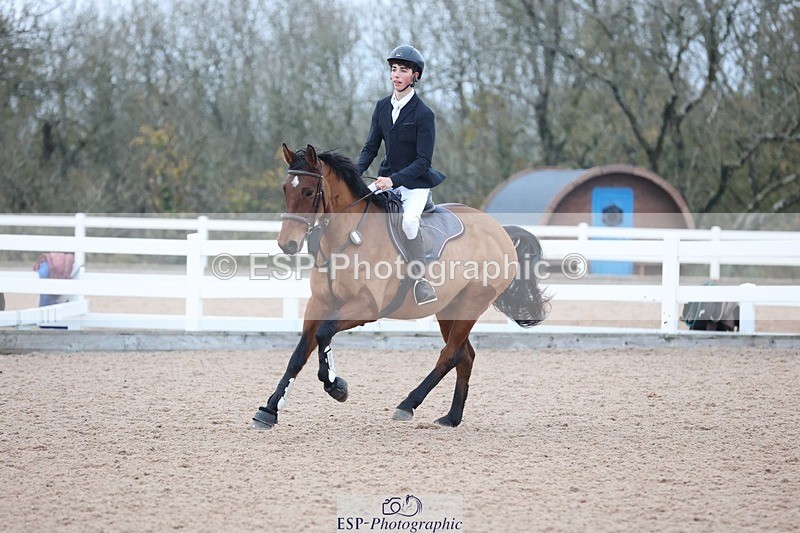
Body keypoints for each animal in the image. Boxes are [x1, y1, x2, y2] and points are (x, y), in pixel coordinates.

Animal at [252, 144, 549, 429]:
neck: (346, 237)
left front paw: (336, 386)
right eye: (285, 189)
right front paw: (269, 410)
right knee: (465, 356)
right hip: (449, 308)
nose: (287, 244)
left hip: (472, 302)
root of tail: (499, 230)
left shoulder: (366, 307)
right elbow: (299, 354)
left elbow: (324, 334)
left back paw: (408, 404)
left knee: (450, 355)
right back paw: (451, 418)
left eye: (308, 191)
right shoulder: (320, 304)